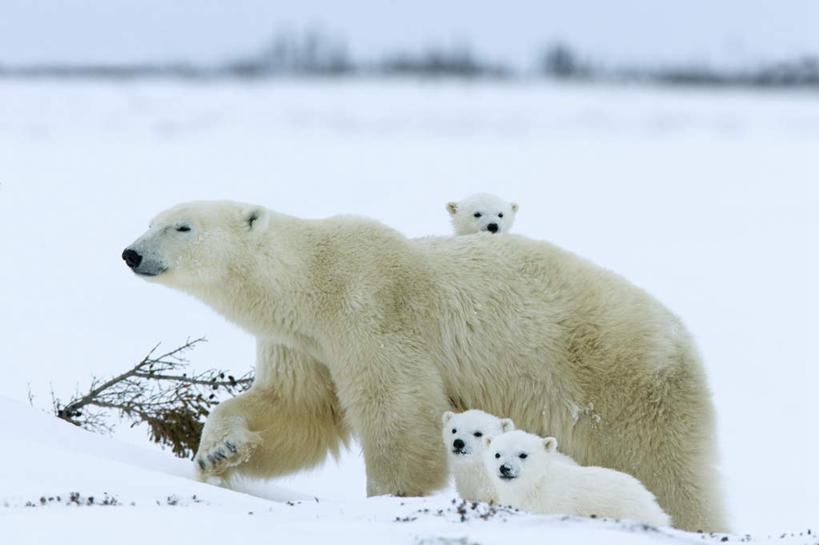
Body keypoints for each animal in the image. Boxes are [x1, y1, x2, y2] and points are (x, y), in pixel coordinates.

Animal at [120, 201, 724, 532]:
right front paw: (218, 451)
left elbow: (399, 410)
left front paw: (391, 498)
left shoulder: (371, 310)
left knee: (669, 471)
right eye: (151, 219)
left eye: (182, 227)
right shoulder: (303, 343)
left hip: (622, 384)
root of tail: (682, 335)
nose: (131, 252)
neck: (312, 279)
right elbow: (296, 411)